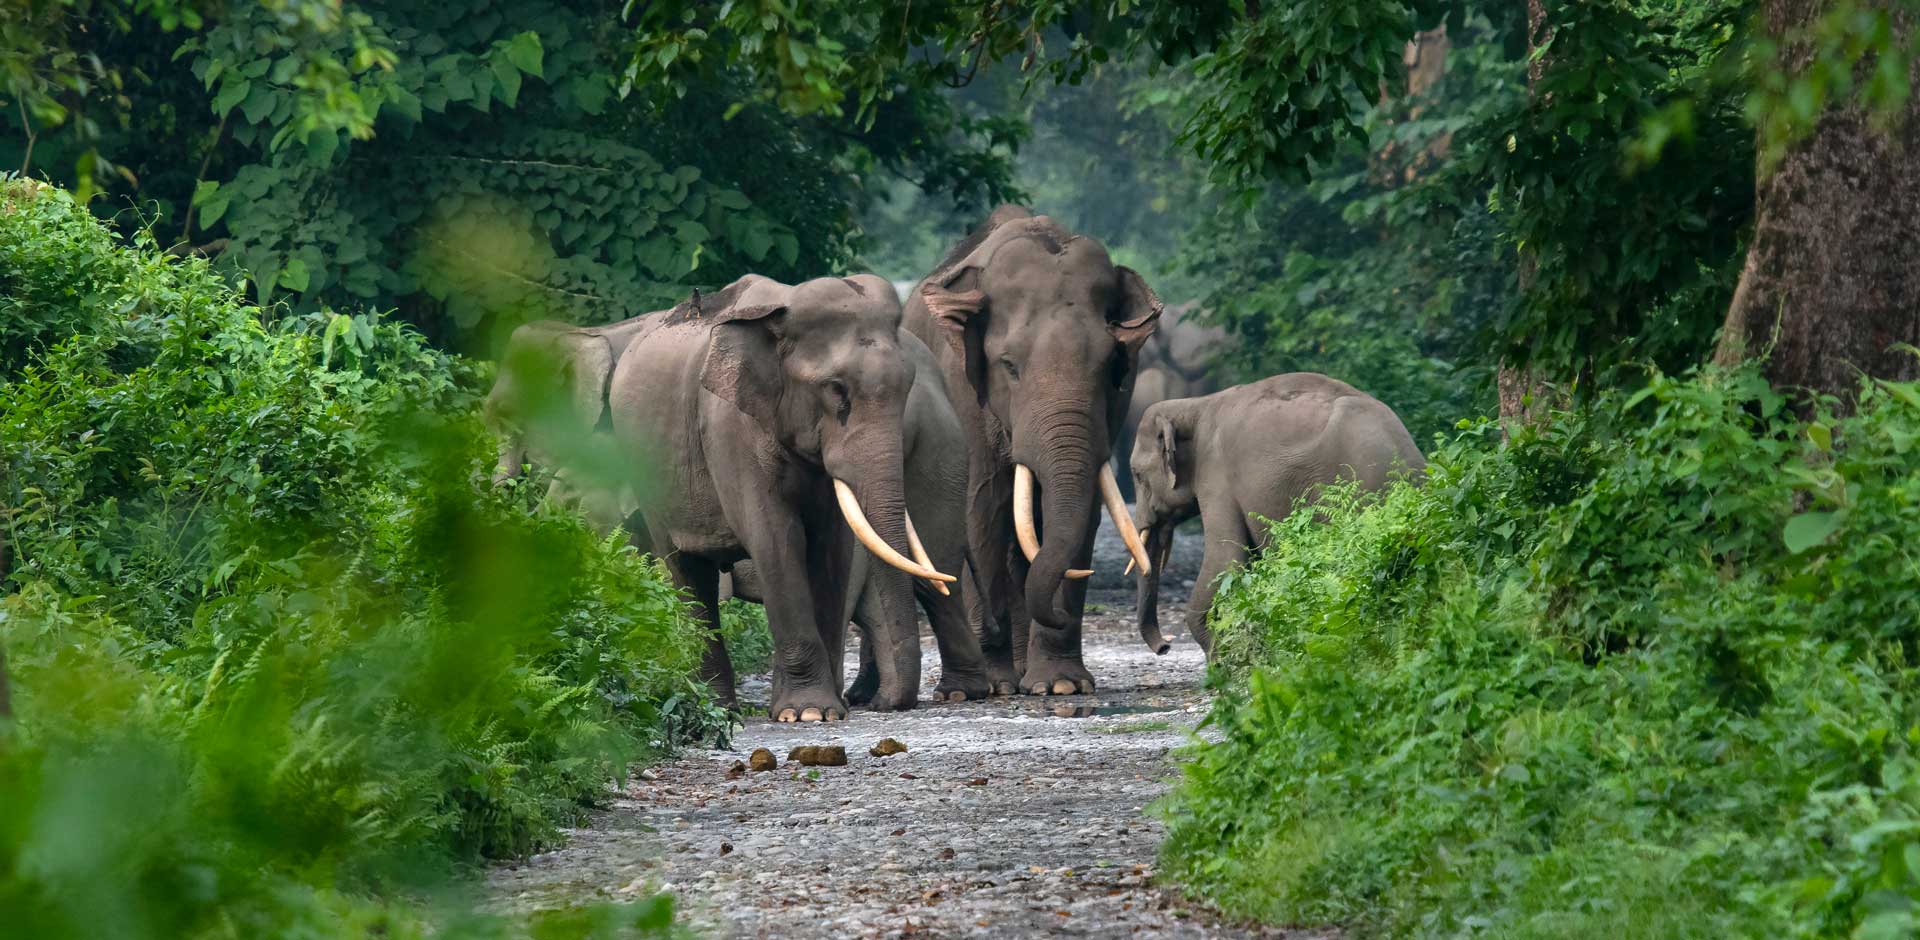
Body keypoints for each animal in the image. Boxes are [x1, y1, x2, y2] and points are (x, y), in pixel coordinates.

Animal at [606, 272, 952, 721]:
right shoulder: (730, 428)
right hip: (646, 475)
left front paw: (825, 710)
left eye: (907, 384)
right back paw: (720, 710)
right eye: (836, 389)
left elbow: (831, 546)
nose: (882, 705)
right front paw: (807, 712)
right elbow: (775, 537)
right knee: (687, 570)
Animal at [906, 207, 1159, 698]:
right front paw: (997, 685)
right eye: (1009, 366)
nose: (1162, 648)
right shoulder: (962, 388)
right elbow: (980, 507)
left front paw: (1062, 685)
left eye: (1110, 365)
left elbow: (1084, 512)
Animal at [1121, 370, 1428, 656]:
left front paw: (1220, 663)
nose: (1164, 647)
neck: (1194, 405)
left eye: (1137, 474)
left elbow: (1227, 558)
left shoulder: (1216, 474)